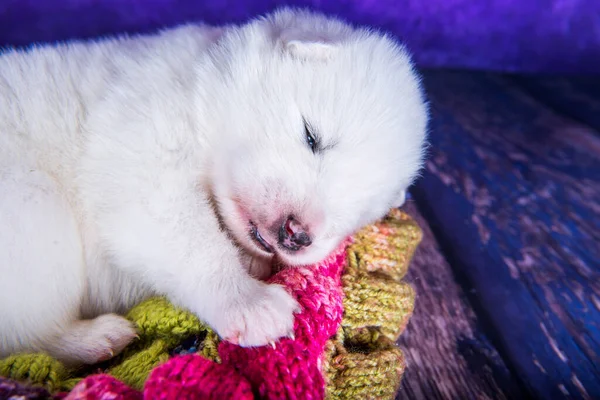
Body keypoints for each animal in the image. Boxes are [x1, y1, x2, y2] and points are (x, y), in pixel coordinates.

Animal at [0, 8, 426, 366]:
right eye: (311, 136)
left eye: (361, 212)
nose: (297, 234)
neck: (197, 94)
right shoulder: (143, 151)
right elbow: (192, 240)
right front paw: (250, 303)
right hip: (34, 208)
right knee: (29, 335)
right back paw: (97, 338)